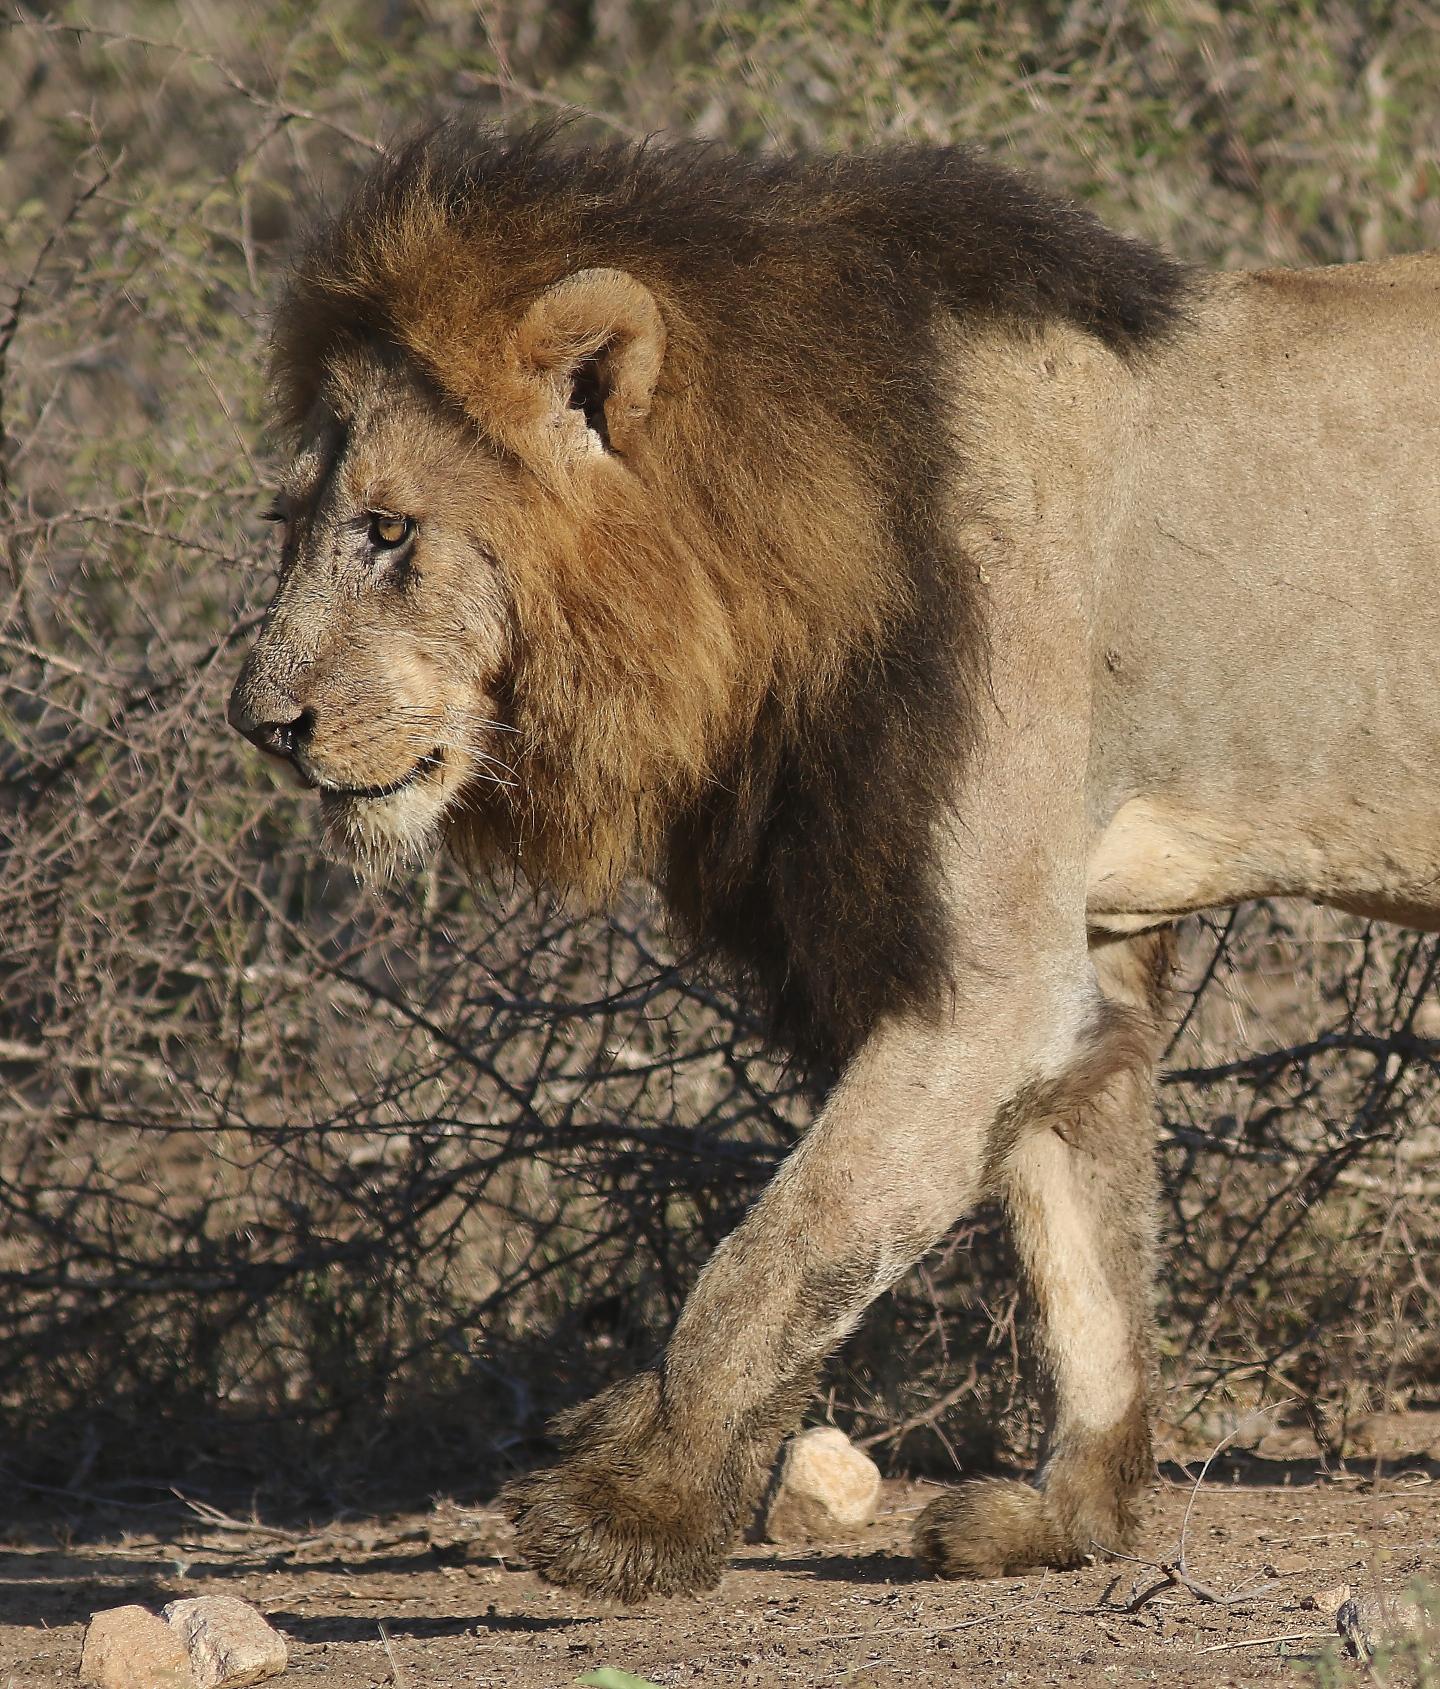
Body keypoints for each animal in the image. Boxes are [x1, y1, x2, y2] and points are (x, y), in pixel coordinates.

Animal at [229, 121, 1440, 1601]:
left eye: (390, 531)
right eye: (297, 522)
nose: (261, 722)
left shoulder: (991, 990)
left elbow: (786, 1244)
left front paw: (636, 1513)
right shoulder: (1083, 960)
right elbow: (1085, 1243)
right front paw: (1068, 1519)